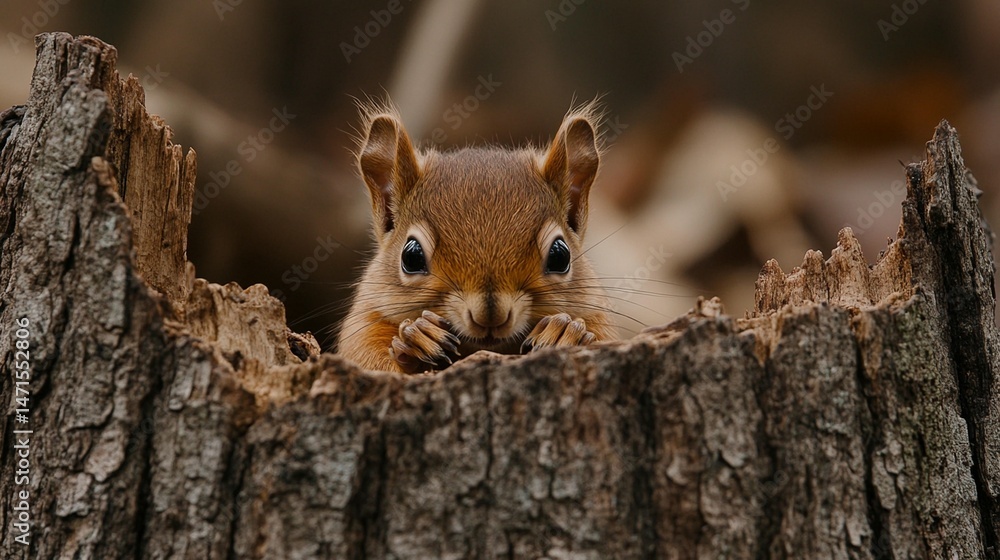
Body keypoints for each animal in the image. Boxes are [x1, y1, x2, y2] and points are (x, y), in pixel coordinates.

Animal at [337, 100, 617, 373]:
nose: (490, 316)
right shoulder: (366, 319)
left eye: (560, 256)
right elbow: (365, 356)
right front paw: (417, 337)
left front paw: (565, 332)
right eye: (411, 257)